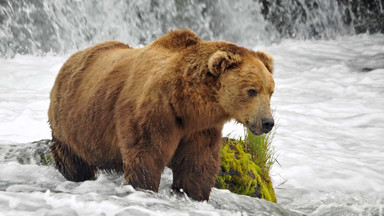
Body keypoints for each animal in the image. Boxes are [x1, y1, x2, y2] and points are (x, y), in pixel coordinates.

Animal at [48, 28, 276, 201]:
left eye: (270, 91)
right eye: (252, 90)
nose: (267, 122)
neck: (187, 104)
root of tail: (71, 59)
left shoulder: (200, 128)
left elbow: (197, 163)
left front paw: (194, 194)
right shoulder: (155, 111)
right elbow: (147, 154)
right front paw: (144, 187)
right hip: (71, 122)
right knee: (73, 159)